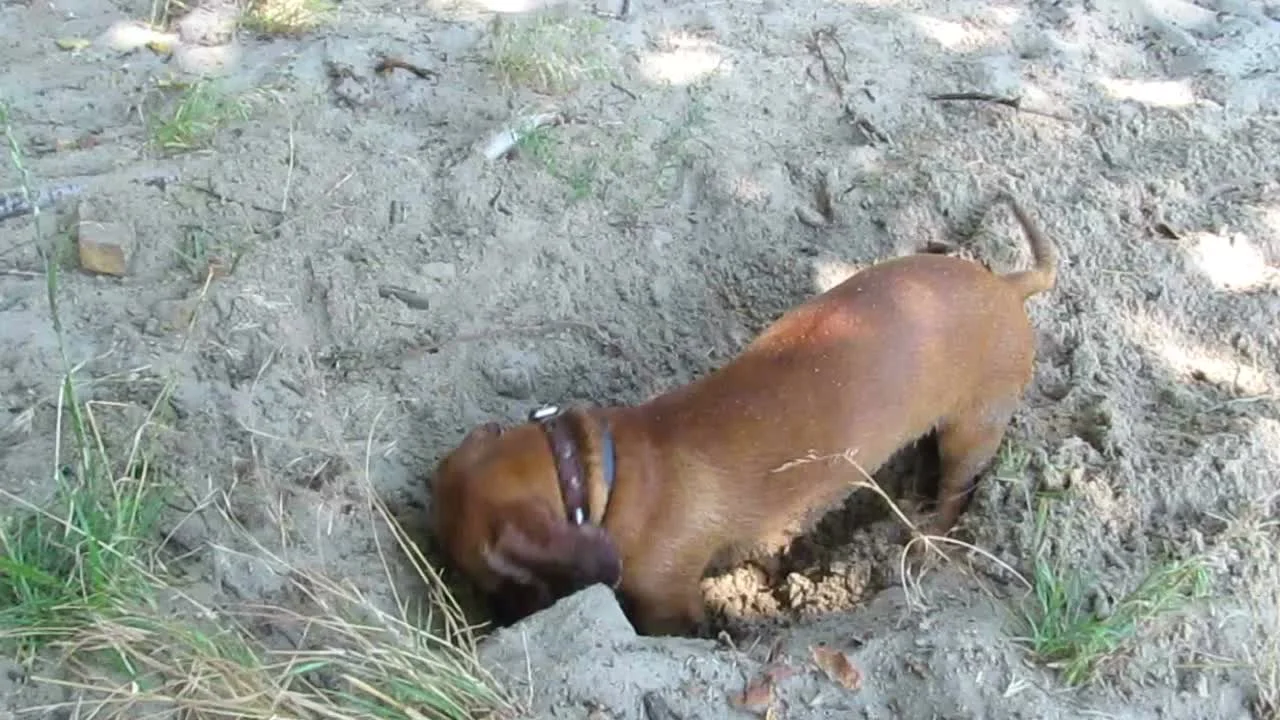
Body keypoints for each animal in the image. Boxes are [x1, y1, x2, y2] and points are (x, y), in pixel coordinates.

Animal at [432, 190, 1059, 632]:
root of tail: (1008, 286)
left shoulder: (668, 600)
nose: (498, 624)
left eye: (490, 574)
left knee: (956, 491)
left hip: (973, 429)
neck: (609, 472)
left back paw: (929, 536)